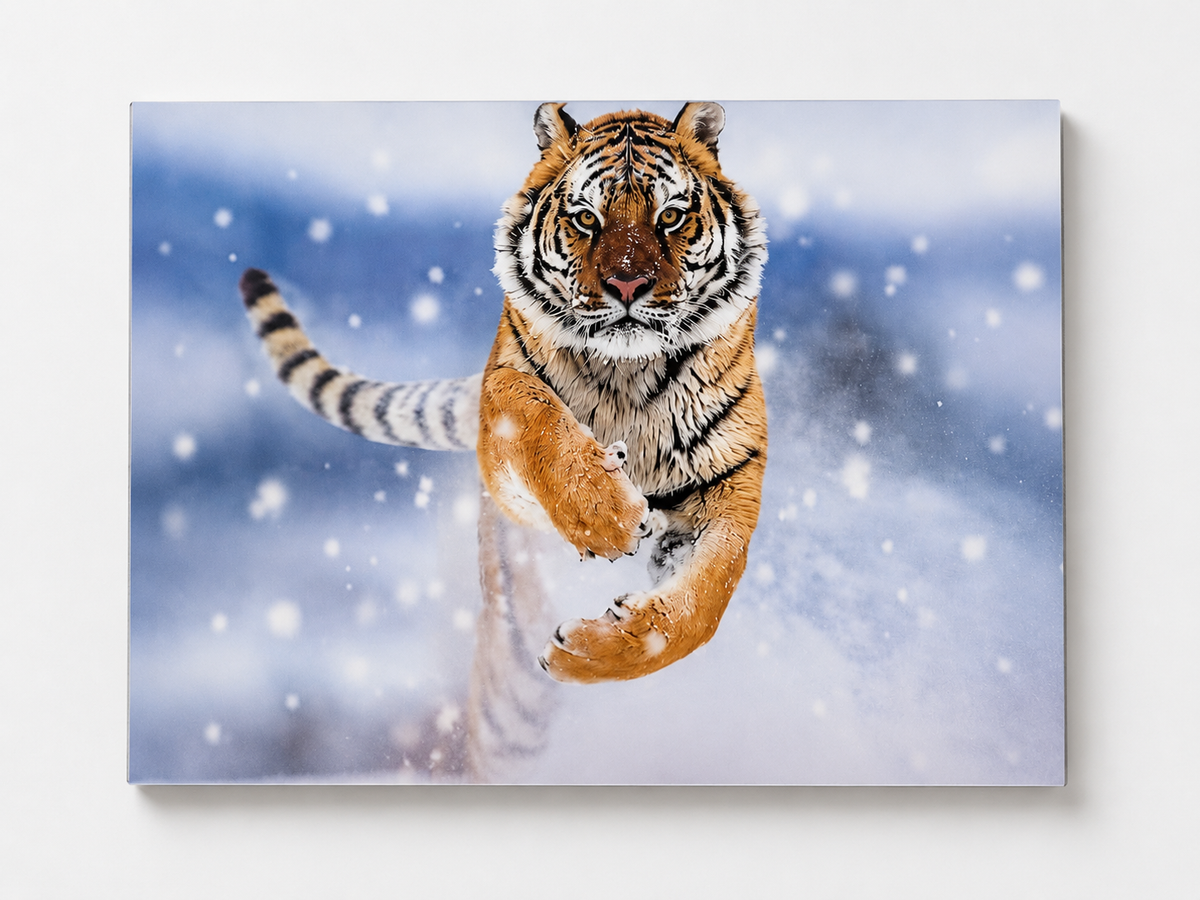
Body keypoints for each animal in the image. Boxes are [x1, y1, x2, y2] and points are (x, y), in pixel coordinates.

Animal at [240, 101, 768, 685]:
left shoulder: (729, 487)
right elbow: (534, 415)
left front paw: (586, 654)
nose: (627, 285)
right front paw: (610, 518)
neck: (628, 374)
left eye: (670, 216)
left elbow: (704, 601)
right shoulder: (503, 422)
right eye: (587, 218)